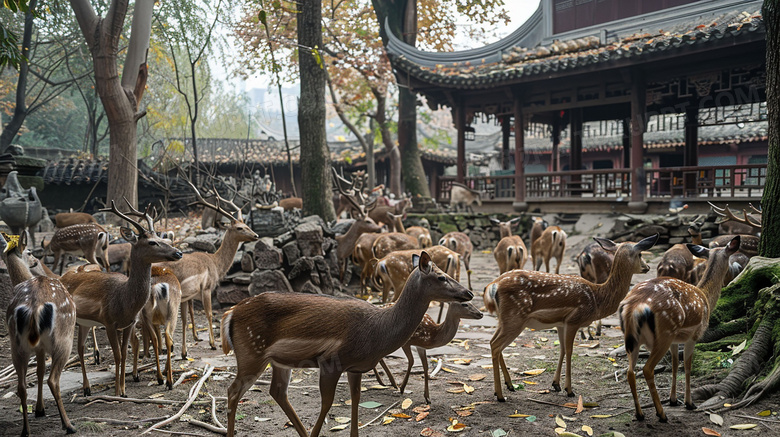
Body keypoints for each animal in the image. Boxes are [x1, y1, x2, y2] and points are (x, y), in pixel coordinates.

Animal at [1, 230, 77, 434]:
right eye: (29, 251)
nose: (37, 260)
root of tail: (35, 307)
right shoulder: (45, 346)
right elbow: (43, 372)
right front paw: (41, 410)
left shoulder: (38, 347)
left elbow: (39, 370)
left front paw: (39, 409)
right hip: (64, 340)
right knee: (53, 380)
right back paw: (68, 425)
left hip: (17, 346)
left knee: (21, 386)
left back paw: (25, 430)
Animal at [60, 201, 183, 396]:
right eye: (152, 242)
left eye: (162, 238)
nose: (178, 253)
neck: (125, 300)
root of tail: (62, 277)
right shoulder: (109, 322)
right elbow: (117, 355)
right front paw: (118, 391)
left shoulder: (129, 323)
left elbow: (125, 353)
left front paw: (124, 390)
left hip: (85, 322)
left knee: (80, 348)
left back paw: (87, 388)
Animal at [221, 250, 476, 436]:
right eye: (441, 277)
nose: (469, 293)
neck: (377, 332)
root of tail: (230, 314)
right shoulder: (330, 361)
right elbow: (327, 403)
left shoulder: (355, 367)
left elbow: (356, 400)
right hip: (251, 352)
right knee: (233, 391)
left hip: (279, 361)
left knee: (277, 392)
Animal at [484, 233, 660, 400]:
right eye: (639, 254)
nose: (647, 267)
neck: (597, 299)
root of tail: (493, 286)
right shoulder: (574, 319)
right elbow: (569, 351)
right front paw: (569, 390)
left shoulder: (561, 323)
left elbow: (561, 349)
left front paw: (556, 384)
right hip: (515, 317)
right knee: (496, 345)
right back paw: (500, 395)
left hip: (505, 318)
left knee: (493, 342)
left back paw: (509, 385)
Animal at [620, 237, 740, 420]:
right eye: (730, 259)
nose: (736, 270)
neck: (706, 299)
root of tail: (634, 306)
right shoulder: (694, 336)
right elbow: (688, 367)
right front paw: (689, 403)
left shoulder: (675, 341)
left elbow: (675, 365)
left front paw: (673, 399)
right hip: (664, 333)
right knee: (647, 369)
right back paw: (661, 414)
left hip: (633, 338)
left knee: (630, 372)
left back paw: (640, 414)